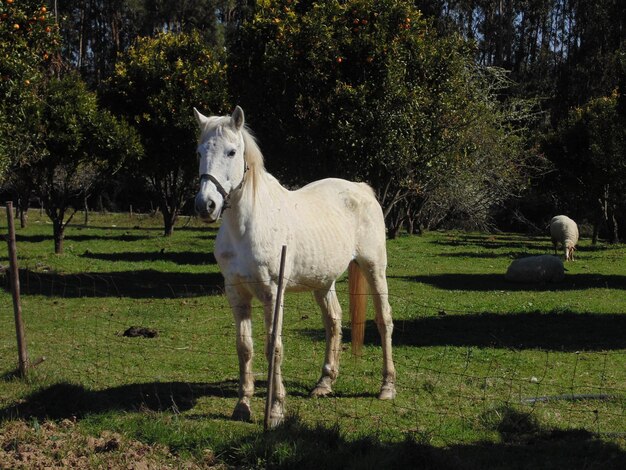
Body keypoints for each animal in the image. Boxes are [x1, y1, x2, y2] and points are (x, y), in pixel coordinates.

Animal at [193, 105, 394, 426]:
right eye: (199, 152)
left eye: (232, 152)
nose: (205, 206)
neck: (247, 225)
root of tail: (362, 189)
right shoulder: (236, 293)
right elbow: (245, 347)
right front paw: (242, 405)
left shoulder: (273, 294)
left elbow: (274, 346)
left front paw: (275, 410)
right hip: (323, 282)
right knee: (333, 321)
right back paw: (324, 383)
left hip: (373, 268)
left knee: (384, 320)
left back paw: (387, 387)